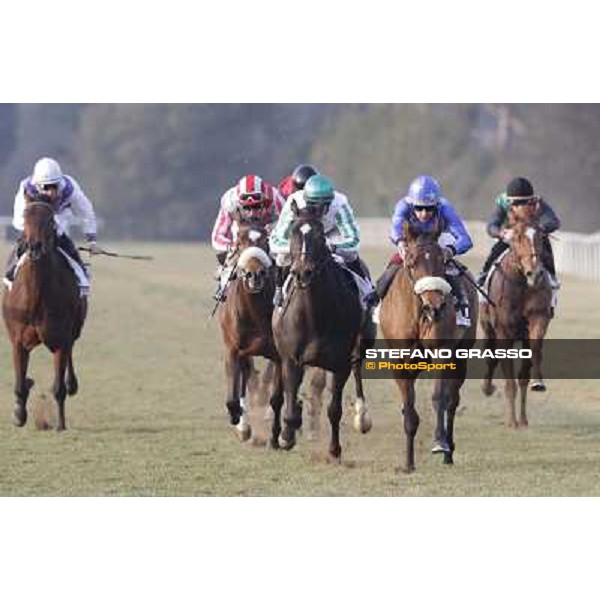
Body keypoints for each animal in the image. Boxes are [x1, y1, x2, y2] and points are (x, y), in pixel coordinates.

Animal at [2, 202, 86, 432]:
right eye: (25, 217)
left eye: (49, 219)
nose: (35, 247)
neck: (36, 297)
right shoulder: (18, 340)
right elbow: (20, 383)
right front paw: (19, 414)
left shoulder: (61, 338)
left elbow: (58, 387)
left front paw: (61, 424)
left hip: (74, 329)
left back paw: (72, 384)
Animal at [218, 223, 284, 442]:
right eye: (239, 241)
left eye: (266, 240)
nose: (254, 274)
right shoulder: (233, 349)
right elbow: (233, 397)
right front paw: (239, 421)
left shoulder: (279, 354)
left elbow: (277, 397)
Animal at [272, 216, 370, 460]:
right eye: (293, 233)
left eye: (320, 236)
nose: (302, 272)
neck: (313, 316)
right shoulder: (291, 360)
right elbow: (290, 407)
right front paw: (286, 436)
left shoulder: (341, 364)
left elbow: (334, 409)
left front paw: (334, 449)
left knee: (357, 369)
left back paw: (362, 417)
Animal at [380, 223, 478, 472]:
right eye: (412, 262)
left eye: (442, 261)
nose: (435, 306)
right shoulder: (401, 360)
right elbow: (409, 407)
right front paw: (408, 463)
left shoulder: (443, 352)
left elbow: (439, 397)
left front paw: (440, 443)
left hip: (461, 355)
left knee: (453, 400)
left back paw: (449, 452)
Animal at [478, 213, 552, 428]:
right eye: (518, 237)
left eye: (540, 237)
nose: (535, 273)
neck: (521, 284)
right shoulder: (503, 331)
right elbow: (509, 379)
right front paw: (512, 421)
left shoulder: (537, 319)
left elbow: (531, 357)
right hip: (488, 327)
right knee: (491, 357)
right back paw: (487, 387)